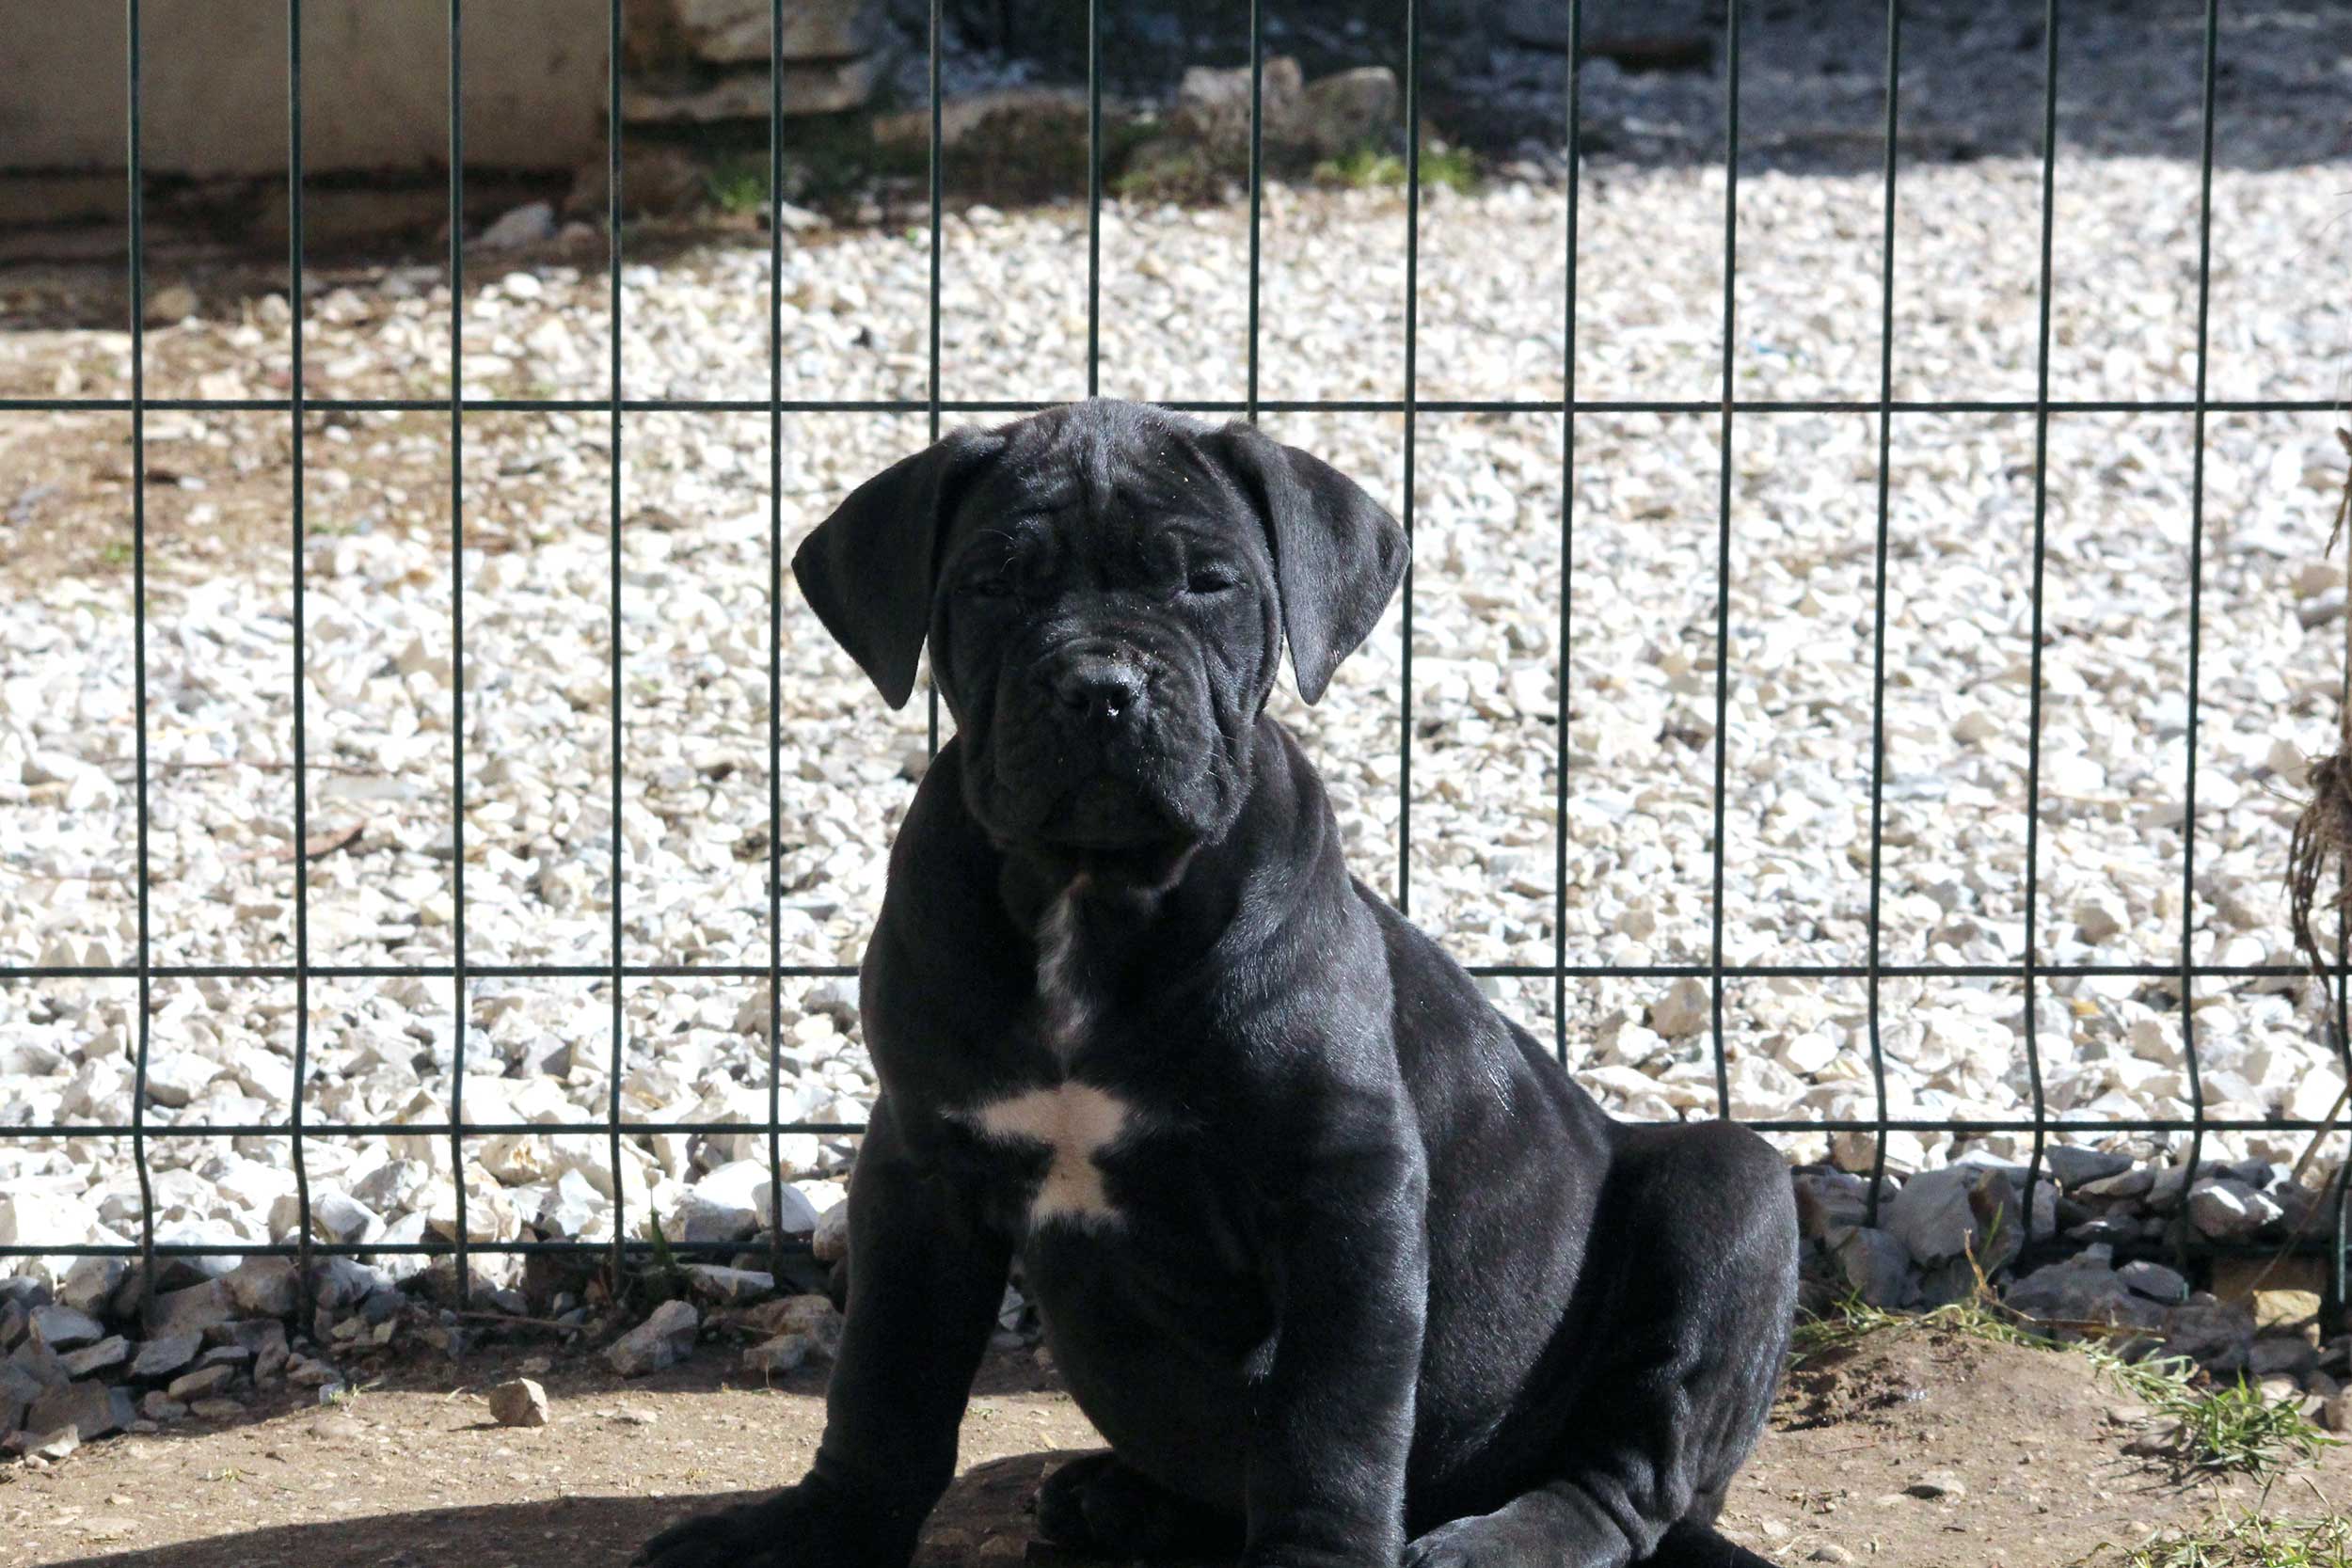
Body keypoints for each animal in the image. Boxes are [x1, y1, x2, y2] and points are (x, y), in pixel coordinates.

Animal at [635, 402, 1788, 1568]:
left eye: (1207, 582)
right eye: (996, 582)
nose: (1101, 686)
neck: (1090, 894)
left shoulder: (1345, 1190)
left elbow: (1329, 1423)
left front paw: (1321, 1559)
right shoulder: (920, 1167)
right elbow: (884, 1381)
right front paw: (816, 1526)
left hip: (1730, 1188)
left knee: (1628, 1472)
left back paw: (1499, 1538)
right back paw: (1117, 1498)